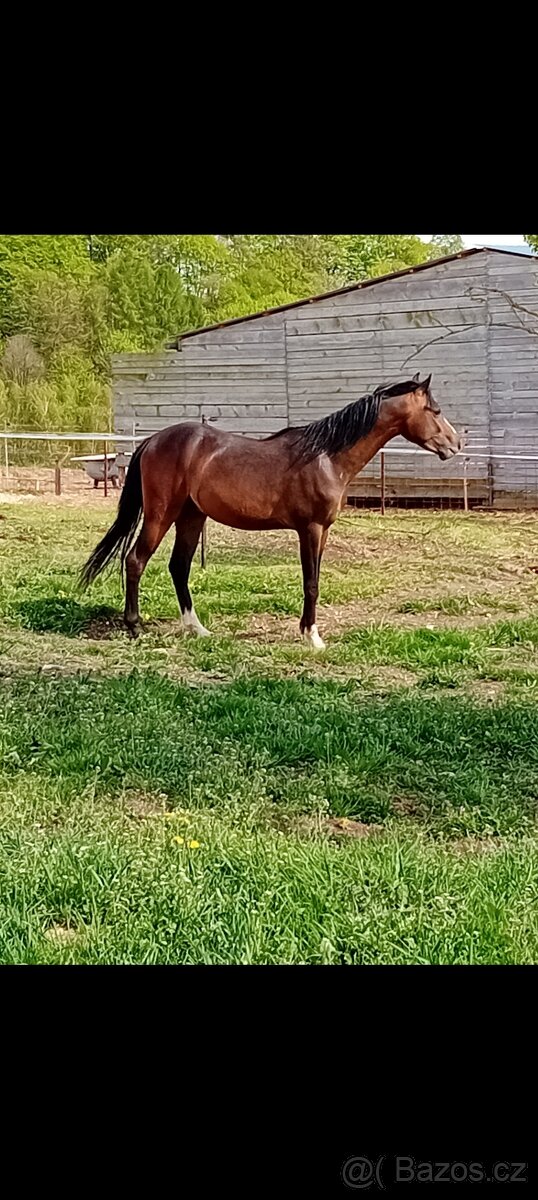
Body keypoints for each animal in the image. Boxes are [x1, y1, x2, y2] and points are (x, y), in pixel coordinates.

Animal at [81, 373, 462, 649]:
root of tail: (152, 441)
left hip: (191, 516)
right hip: (162, 515)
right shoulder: (310, 528)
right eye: (436, 411)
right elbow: (311, 583)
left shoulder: (323, 530)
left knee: (179, 567)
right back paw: (135, 627)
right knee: (135, 560)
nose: (456, 444)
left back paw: (197, 629)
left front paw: (308, 631)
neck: (326, 457)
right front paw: (312, 638)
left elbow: (315, 580)